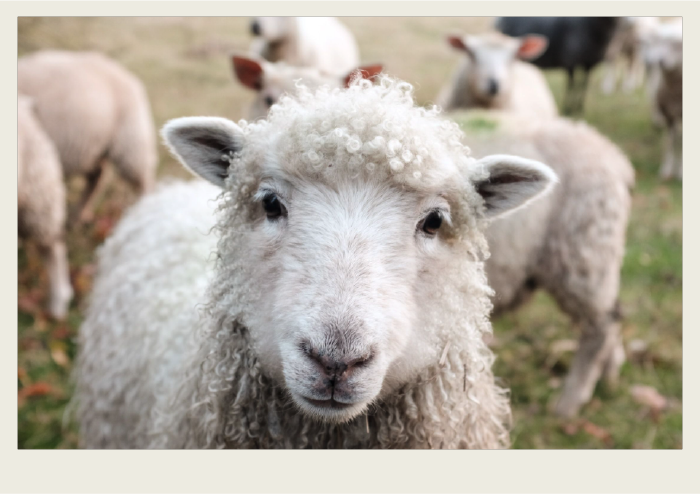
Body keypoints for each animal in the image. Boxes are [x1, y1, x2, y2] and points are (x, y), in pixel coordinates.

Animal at [17, 50, 158, 223]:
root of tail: (126, 74)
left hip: (131, 142)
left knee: (143, 181)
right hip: (93, 148)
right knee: (96, 177)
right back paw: (80, 215)